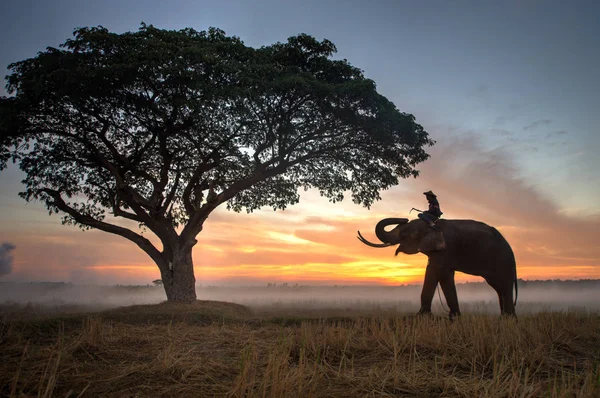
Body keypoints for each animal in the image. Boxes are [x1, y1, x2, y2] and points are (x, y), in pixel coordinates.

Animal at [358, 216, 516, 318]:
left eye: (405, 233)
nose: (404, 218)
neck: (431, 225)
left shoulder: (445, 250)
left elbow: (434, 272)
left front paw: (421, 317)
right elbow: (445, 276)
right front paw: (455, 317)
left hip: (502, 260)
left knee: (503, 285)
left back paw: (507, 320)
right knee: (498, 286)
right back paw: (507, 318)